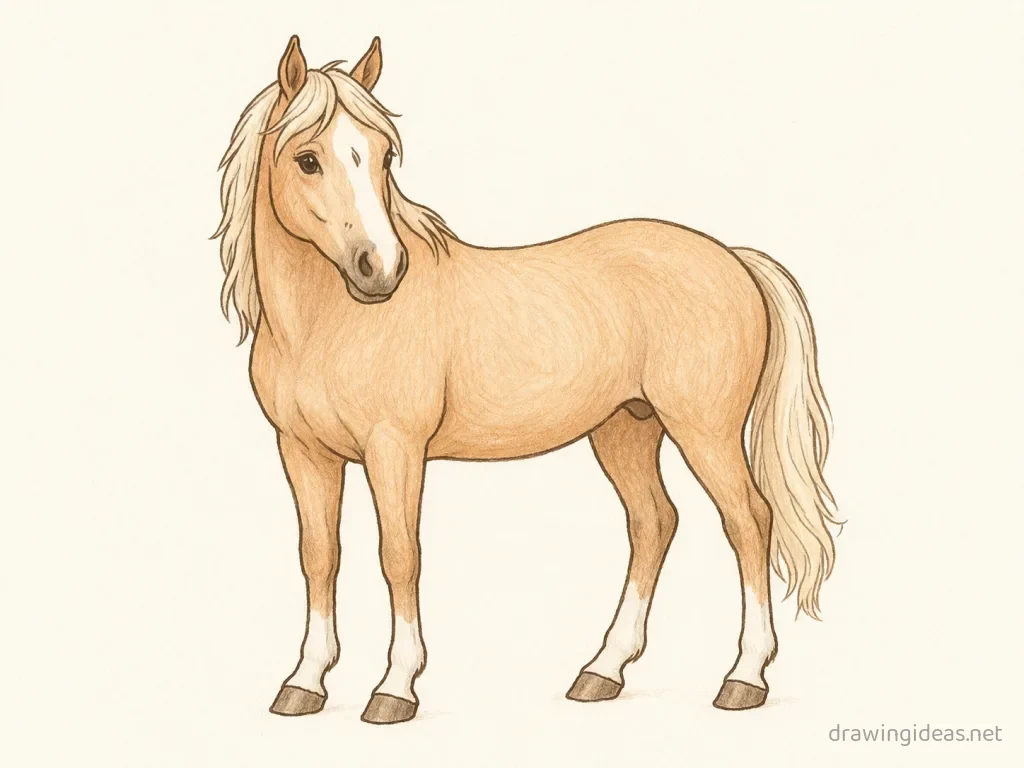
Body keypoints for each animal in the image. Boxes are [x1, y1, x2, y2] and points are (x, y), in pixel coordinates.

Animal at [213, 35, 839, 725]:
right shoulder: (303, 451)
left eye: (383, 156)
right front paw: (304, 682)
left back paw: (744, 677)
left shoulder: (394, 448)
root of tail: (733, 258)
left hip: (705, 431)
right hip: (626, 429)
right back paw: (603, 670)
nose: (381, 268)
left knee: (748, 521)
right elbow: (319, 557)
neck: (325, 324)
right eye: (307, 159)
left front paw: (395, 687)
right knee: (653, 522)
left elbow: (399, 556)